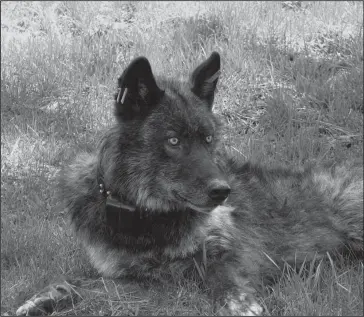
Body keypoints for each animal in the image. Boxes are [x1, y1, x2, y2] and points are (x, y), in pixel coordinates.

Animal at [15, 51, 362, 314]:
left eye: (208, 139)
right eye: (173, 140)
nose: (223, 191)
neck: (145, 216)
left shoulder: (232, 249)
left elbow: (222, 272)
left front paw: (236, 302)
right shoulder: (134, 278)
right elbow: (88, 283)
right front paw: (48, 295)